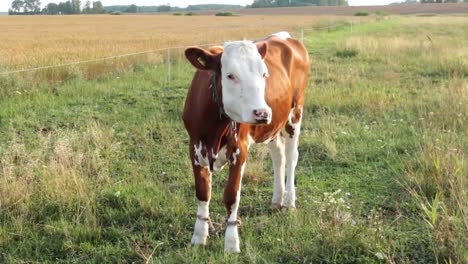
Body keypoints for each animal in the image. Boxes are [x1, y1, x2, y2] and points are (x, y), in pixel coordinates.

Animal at [184, 32, 310, 253]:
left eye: (264, 74)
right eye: (230, 75)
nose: (262, 113)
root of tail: (286, 37)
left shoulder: (240, 149)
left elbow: (231, 196)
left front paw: (231, 243)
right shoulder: (195, 147)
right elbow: (203, 192)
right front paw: (199, 236)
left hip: (295, 112)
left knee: (291, 157)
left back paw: (288, 202)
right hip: (273, 127)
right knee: (278, 155)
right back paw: (277, 199)